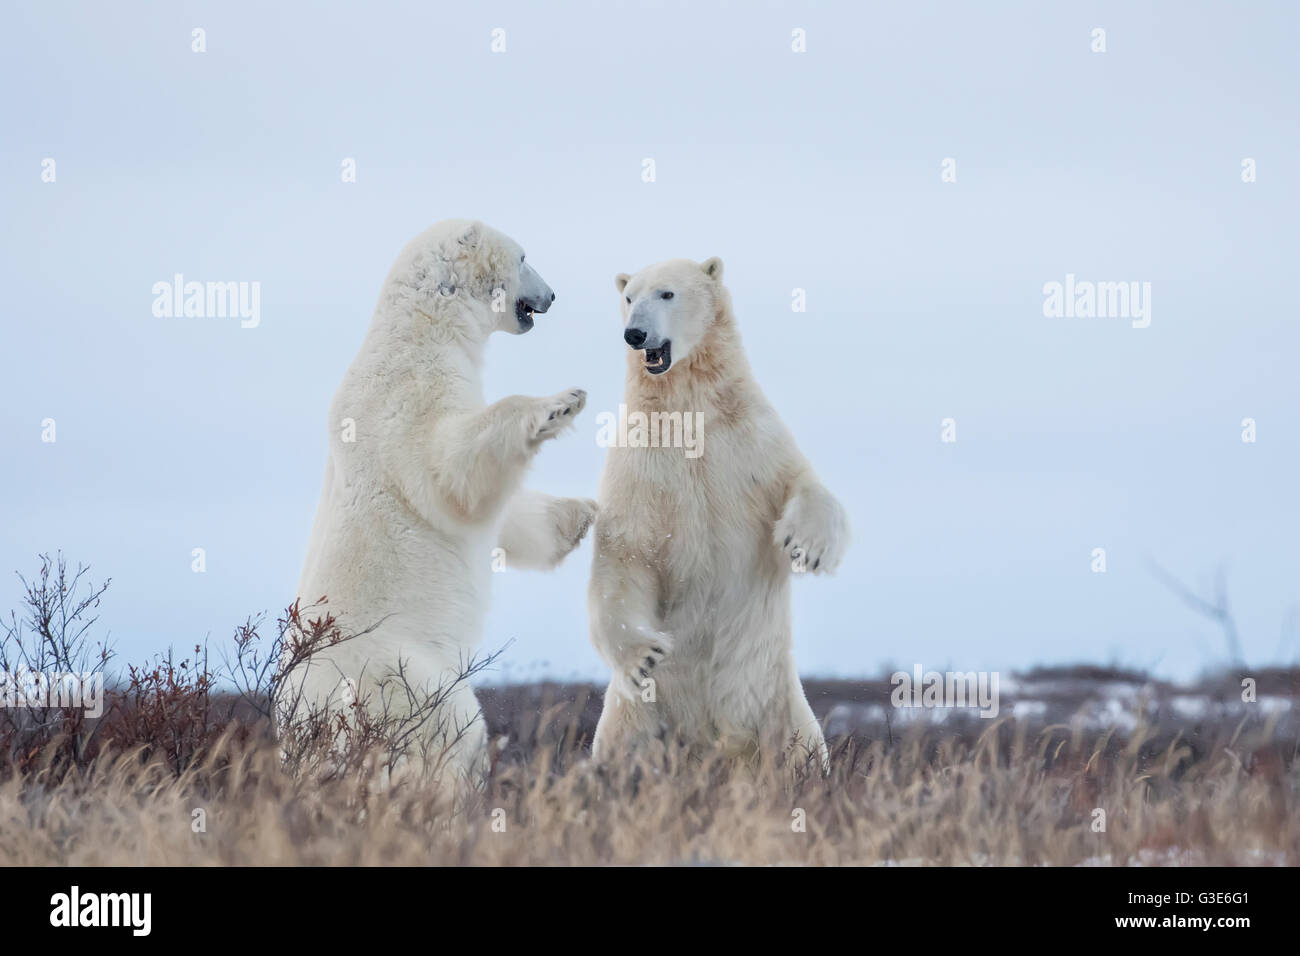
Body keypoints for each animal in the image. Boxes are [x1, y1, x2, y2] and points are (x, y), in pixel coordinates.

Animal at [282, 221, 595, 790]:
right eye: (524, 257)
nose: (552, 295)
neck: (422, 329)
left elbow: (497, 511)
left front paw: (580, 514)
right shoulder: (410, 391)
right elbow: (451, 469)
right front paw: (560, 403)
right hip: (398, 673)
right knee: (450, 722)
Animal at [590, 254, 852, 770]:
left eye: (667, 293)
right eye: (629, 296)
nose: (635, 334)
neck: (689, 407)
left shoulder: (748, 438)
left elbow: (801, 482)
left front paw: (805, 547)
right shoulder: (642, 461)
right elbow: (625, 551)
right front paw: (644, 655)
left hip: (780, 703)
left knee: (803, 752)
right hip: (635, 716)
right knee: (619, 752)